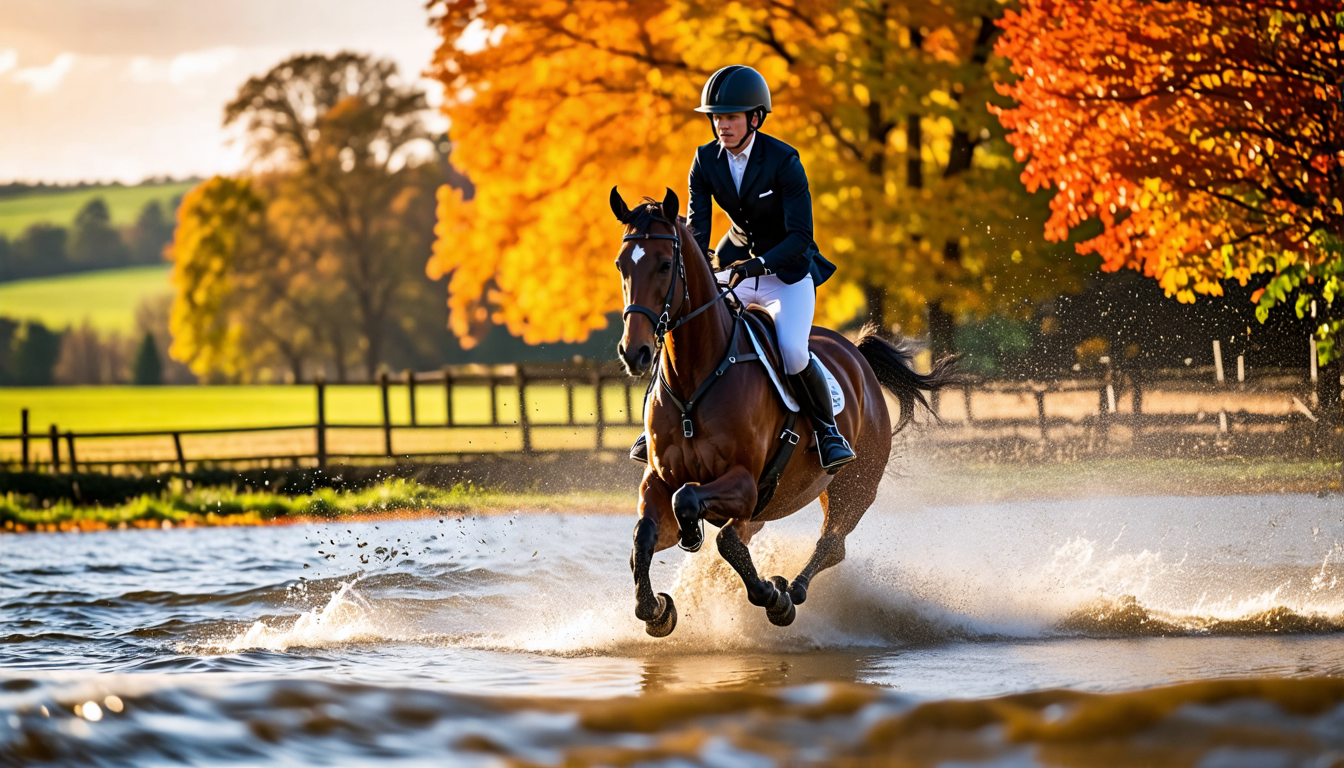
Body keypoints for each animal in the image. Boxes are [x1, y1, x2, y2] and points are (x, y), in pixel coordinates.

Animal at [610, 188, 956, 637]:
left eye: (666, 264)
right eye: (622, 265)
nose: (634, 352)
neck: (694, 379)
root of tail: (855, 353)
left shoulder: (744, 484)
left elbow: (710, 525)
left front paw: (773, 597)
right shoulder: (659, 481)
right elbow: (645, 536)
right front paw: (656, 609)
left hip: (855, 486)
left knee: (832, 543)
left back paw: (792, 590)